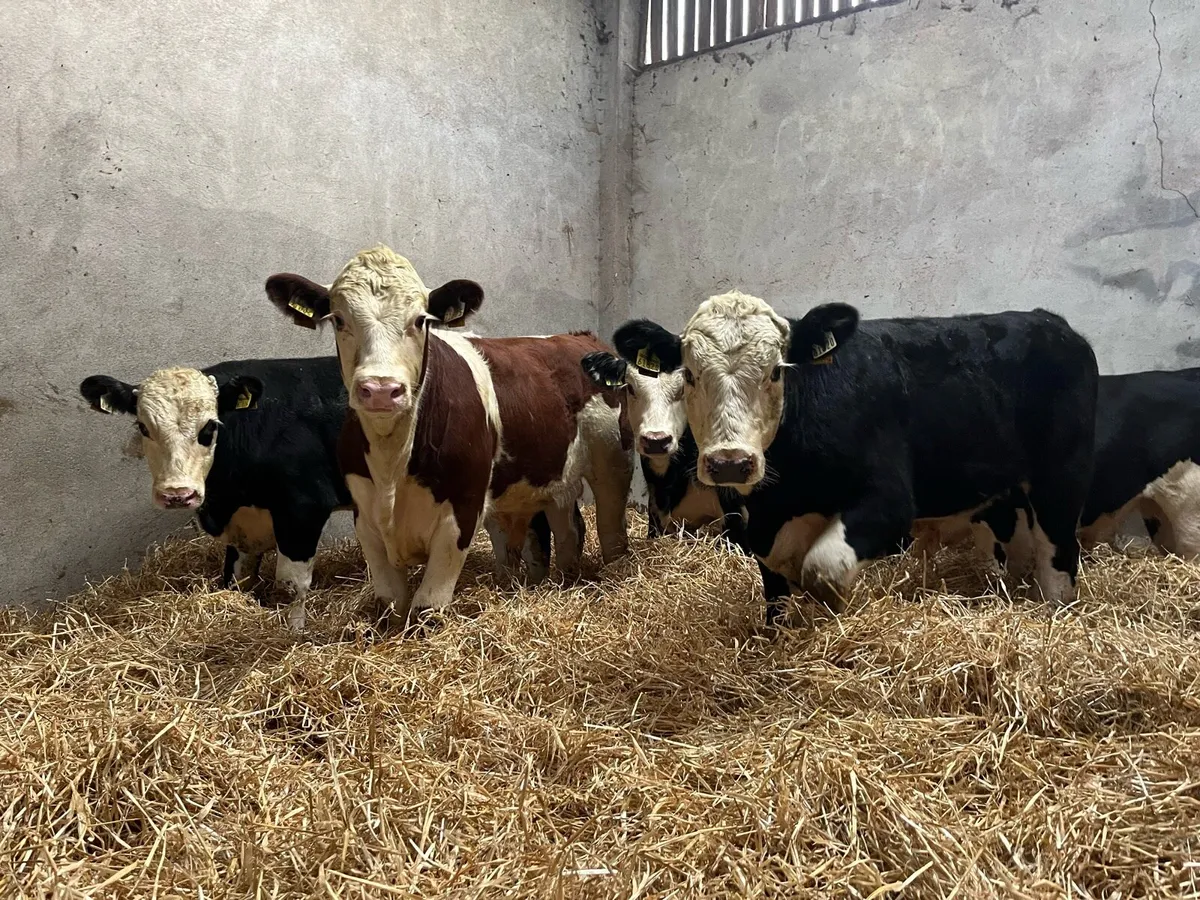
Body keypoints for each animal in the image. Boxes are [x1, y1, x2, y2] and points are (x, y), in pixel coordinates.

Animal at [263, 246, 633, 629]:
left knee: (610, 529)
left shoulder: (461, 513)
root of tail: (577, 336)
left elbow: (427, 609)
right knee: (566, 529)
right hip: (550, 479)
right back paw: (564, 581)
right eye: (339, 319)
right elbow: (390, 603)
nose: (380, 390)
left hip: (612, 464)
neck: (392, 459)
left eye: (420, 320)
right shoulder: (366, 518)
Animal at [619, 291, 1099, 625]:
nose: (730, 463)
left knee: (1058, 558)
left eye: (776, 371)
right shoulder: (763, 522)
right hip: (1004, 494)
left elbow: (822, 570)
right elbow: (777, 588)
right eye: (689, 374)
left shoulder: (889, 502)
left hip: (1062, 480)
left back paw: (1054, 616)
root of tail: (1049, 320)